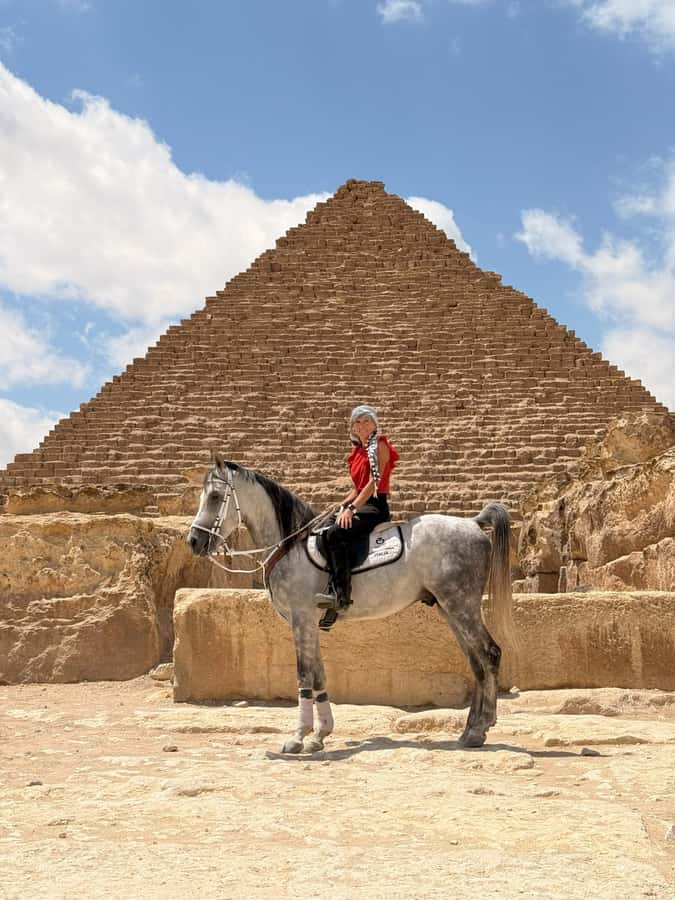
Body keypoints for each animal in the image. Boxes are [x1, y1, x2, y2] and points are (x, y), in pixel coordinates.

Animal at [187, 454, 517, 754]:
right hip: (449, 607)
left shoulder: (301, 619)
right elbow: (319, 674)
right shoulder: (311, 623)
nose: (193, 541)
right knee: (476, 662)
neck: (290, 545)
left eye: (214, 497)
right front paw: (320, 735)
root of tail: (473, 523)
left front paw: (298, 738)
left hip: (461, 604)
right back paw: (471, 729)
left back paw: (479, 728)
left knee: (490, 654)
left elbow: (304, 673)